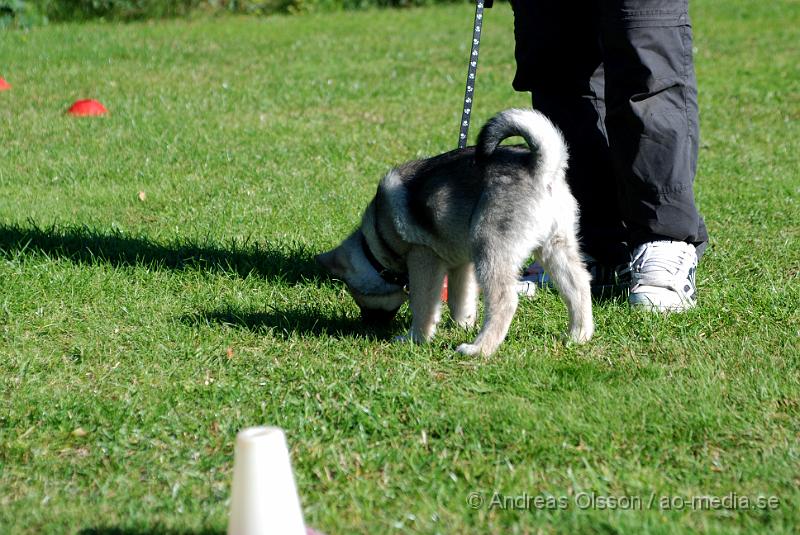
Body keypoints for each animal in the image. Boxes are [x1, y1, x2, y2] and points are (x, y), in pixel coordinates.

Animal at [318, 108, 592, 356]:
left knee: (505, 300)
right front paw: (462, 325)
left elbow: (423, 305)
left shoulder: (424, 259)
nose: (366, 325)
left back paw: (479, 349)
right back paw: (578, 335)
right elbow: (460, 300)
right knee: (579, 285)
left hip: (490, 249)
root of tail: (541, 168)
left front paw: (416, 338)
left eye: (357, 294)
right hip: (554, 247)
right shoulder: (461, 265)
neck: (379, 238)